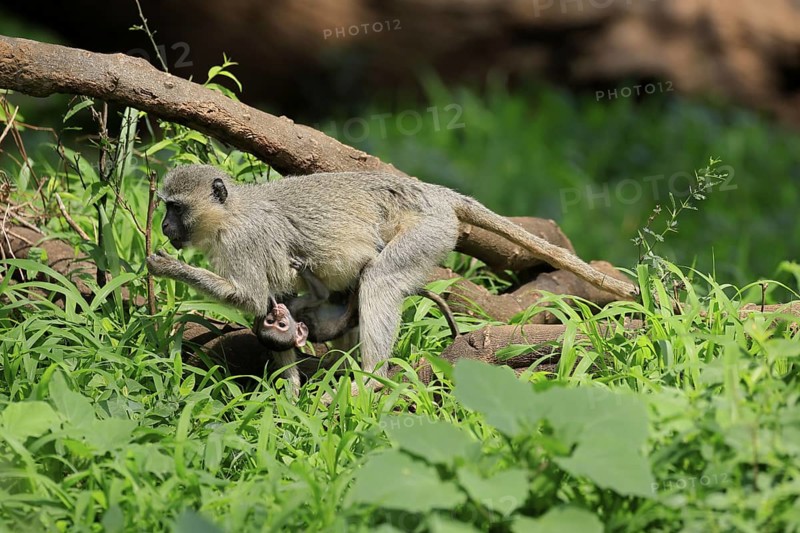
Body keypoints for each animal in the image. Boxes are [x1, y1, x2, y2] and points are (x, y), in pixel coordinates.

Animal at [147, 164, 637, 396]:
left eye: (174, 207)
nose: (165, 227)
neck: (231, 212)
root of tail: (431, 193)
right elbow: (273, 303)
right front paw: (289, 391)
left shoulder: (242, 242)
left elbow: (251, 299)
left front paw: (166, 267)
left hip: (428, 231)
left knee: (380, 281)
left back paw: (371, 378)